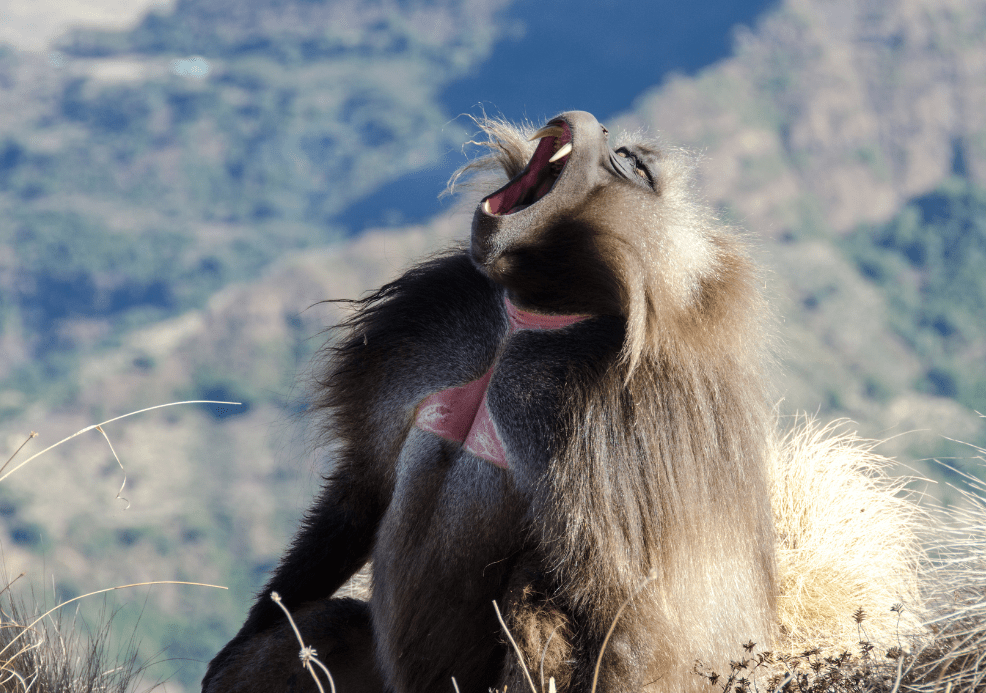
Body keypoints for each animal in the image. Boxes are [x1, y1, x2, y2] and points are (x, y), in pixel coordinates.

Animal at [202, 110, 778, 693]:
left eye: (634, 167)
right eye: (625, 153)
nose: (594, 124)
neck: (529, 320)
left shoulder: (631, 416)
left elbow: (629, 617)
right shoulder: (439, 320)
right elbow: (363, 483)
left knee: (534, 600)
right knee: (322, 625)